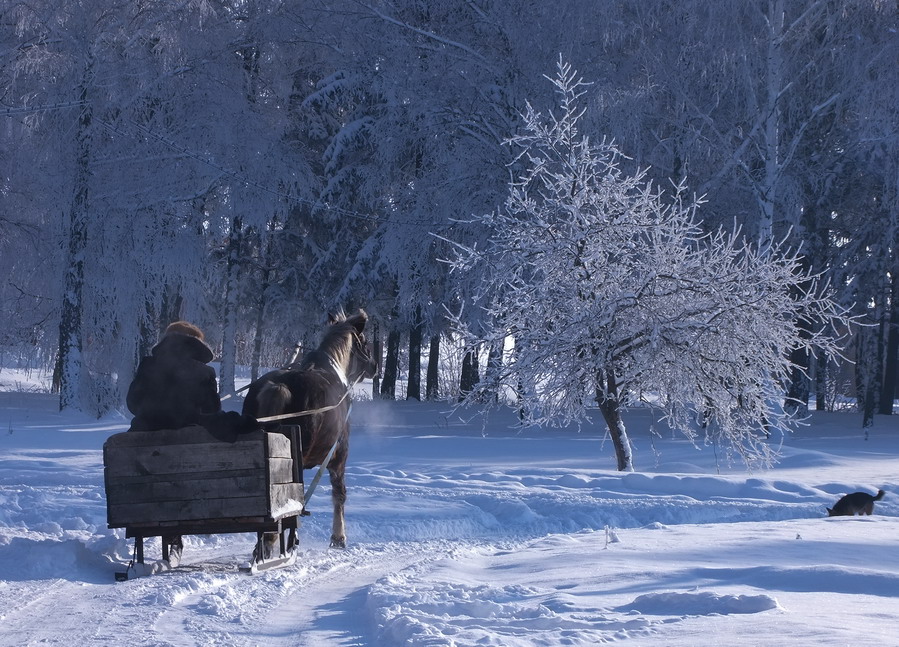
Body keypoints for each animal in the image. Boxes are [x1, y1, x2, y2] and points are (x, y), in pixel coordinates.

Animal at [241, 308, 374, 548]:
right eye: (365, 341)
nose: (375, 366)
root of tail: (279, 386)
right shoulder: (339, 456)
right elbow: (339, 493)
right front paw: (338, 537)